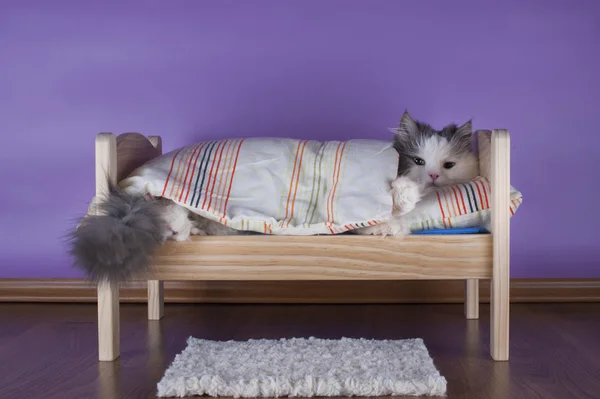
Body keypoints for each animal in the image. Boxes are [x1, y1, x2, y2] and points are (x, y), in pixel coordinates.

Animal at [68, 111, 478, 282]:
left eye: (449, 163)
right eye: (419, 161)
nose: (434, 176)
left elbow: (397, 220)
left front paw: (395, 223)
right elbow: (395, 204)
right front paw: (402, 202)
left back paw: (192, 229)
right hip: (168, 197)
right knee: (166, 208)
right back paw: (180, 228)